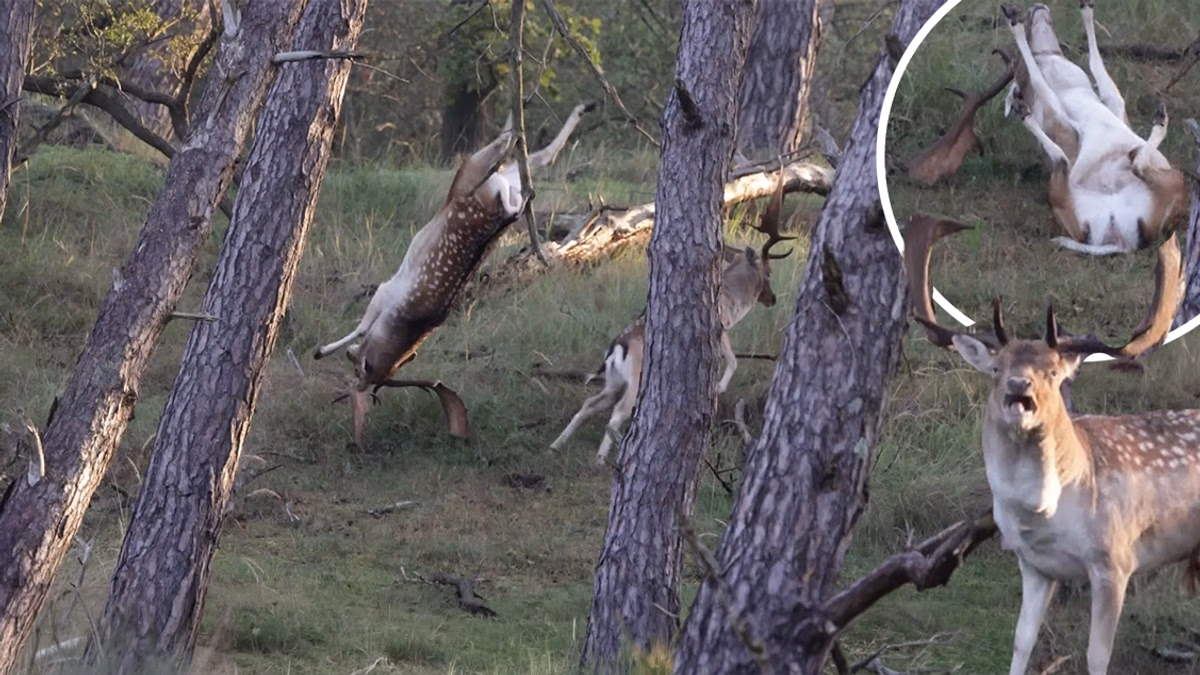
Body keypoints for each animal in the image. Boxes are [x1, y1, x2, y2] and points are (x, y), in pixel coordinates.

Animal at [314, 103, 593, 447]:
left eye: (360, 370)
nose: (354, 373)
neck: (406, 326)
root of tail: (504, 205)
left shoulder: (385, 292)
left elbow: (362, 325)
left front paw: (322, 350)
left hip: (469, 179)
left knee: (501, 156)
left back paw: (520, 124)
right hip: (498, 180)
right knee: (532, 162)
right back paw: (550, 117)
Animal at [549, 181, 794, 464]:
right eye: (769, 272)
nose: (772, 298)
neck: (732, 302)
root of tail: (616, 349)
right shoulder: (720, 328)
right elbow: (733, 360)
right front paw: (719, 387)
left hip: (613, 380)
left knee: (590, 403)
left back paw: (556, 445)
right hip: (634, 379)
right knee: (618, 412)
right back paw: (600, 460)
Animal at [904, 211, 1199, 675]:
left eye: (1054, 372)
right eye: (996, 369)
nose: (1019, 387)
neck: (1046, 515)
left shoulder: (1114, 562)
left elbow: (1097, 656)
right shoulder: (1034, 567)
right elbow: (1022, 640)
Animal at [1001, 2, 1188, 256]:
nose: (1036, 6)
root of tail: (1122, 242)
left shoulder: (1115, 104)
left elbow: (1097, 66)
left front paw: (1087, 9)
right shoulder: (1059, 115)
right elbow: (1040, 80)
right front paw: (1016, 25)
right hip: (1175, 180)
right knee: (1090, 161)